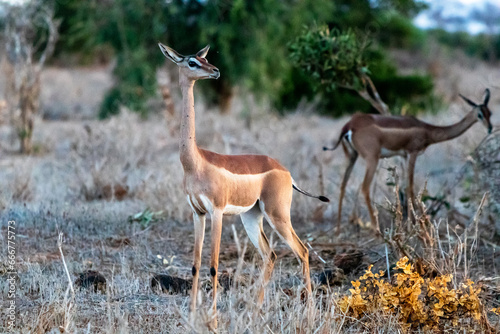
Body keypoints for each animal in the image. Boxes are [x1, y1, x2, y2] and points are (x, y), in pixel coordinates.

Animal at [157, 43, 328, 328]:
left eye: (204, 58)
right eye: (193, 61)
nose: (215, 71)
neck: (195, 162)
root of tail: (286, 172)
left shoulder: (216, 212)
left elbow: (213, 264)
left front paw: (213, 321)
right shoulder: (197, 213)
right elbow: (195, 263)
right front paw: (192, 317)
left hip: (277, 216)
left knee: (302, 251)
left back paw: (310, 315)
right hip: (251, 217)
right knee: (270, 255)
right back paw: (254, 314)